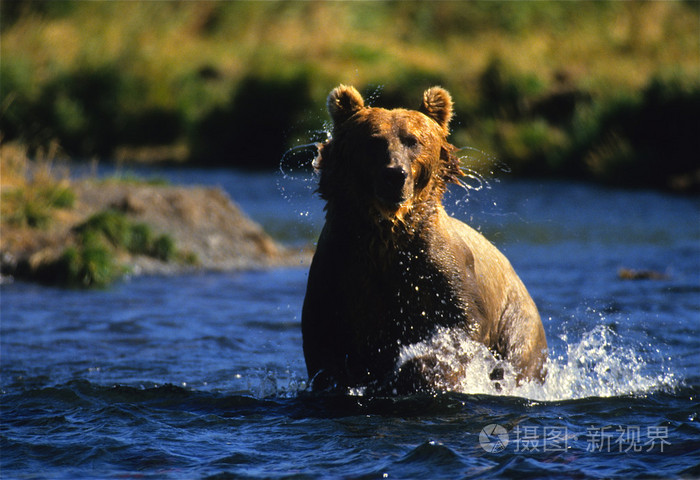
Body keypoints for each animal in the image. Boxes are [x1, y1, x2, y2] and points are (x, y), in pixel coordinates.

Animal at [300, 85, 548, 394]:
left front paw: (422, 372)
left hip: (515, 320)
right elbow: (324, 343)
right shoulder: (340, 270)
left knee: (518, 358)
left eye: (413, 140)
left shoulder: (440, 267)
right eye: (373, 141)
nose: (395, 174)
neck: (387, 232)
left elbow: (459, 328)